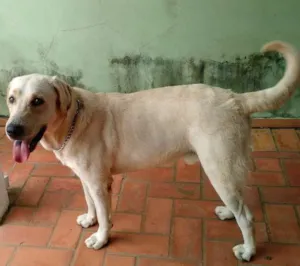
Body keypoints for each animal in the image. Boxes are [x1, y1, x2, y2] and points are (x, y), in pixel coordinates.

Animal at [4, 40, 300, 260]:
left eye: (38, 101)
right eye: (11, 99)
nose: (11, 130)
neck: (72, 120)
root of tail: (235, 97)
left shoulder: (100, 183)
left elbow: (105, 215)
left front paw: (101, 238)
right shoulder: (86, 178)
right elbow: (90, 203)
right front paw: (90, 219)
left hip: (219, 166)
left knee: (246, 216)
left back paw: (248, 250)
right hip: (228, 167)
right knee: (240, 201)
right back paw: (228, 212)